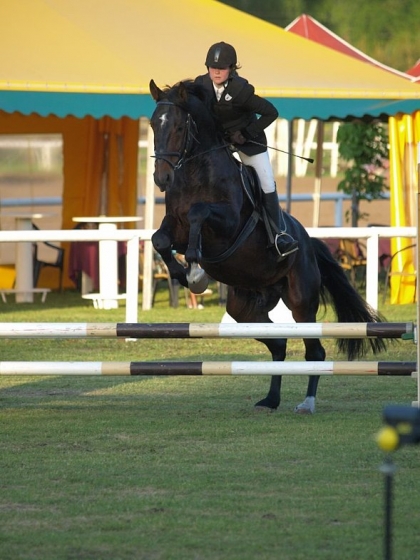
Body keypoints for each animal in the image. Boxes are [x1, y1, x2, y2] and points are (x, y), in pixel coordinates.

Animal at [148, 76, 388, 414]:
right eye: (153, 125)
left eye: (181, 127)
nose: (162, 178)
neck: (196, 173)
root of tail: (309, 243)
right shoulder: (175, 227)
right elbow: (160, 239)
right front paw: (185, 274)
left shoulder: (226, 225)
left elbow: (199, 214)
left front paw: (195, 270)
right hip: (244, 306)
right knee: (278, 344)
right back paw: (270, 400)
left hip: (301, 301)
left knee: (315, 352)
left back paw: (307, 403)